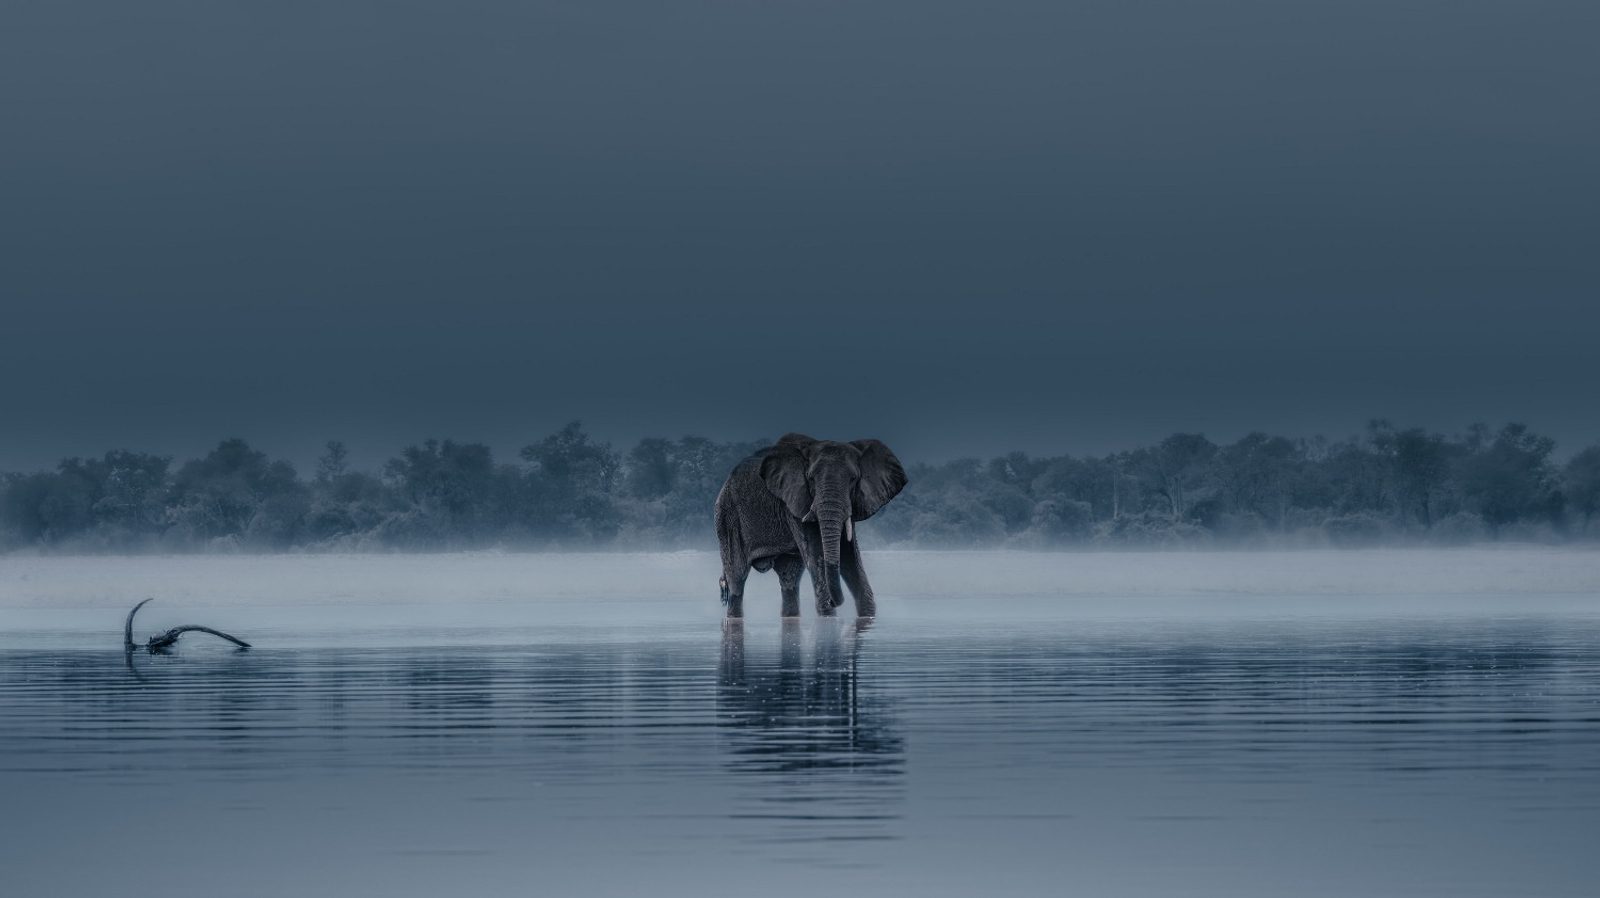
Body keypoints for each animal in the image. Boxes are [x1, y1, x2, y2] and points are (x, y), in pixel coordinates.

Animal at [714, 433, 907, 618]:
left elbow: (848, 555)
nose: (833, 601)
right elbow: (818, 555)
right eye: (811, 479)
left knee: (789, 579)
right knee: (737, 579)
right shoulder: (795, 503)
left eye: (853, 479)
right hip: (727, 518)